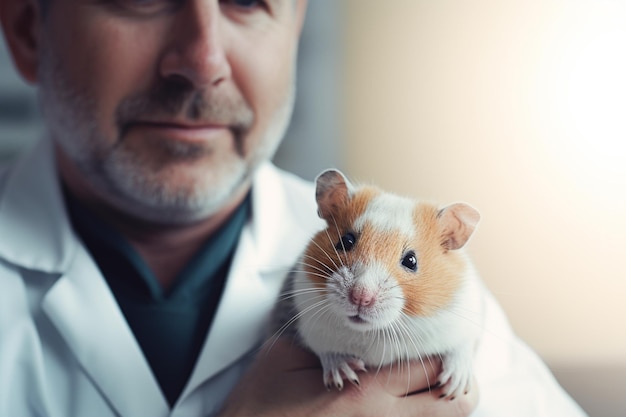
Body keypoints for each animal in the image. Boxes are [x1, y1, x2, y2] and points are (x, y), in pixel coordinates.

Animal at [272, 169, 482, 400]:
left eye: (411, 261)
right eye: (345, 241)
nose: (360, 297)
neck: (374, 332)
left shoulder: (467, 321)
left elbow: (463, 346)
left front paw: (454, 390)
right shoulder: (306, 323)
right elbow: (326, 349)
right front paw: (344, 376)